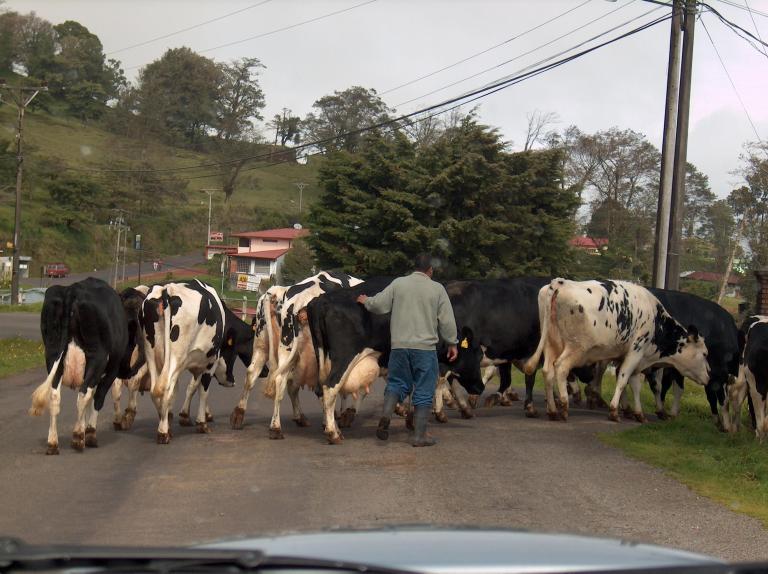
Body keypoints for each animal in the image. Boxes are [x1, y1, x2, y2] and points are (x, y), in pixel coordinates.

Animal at [29, 280, 144, 454]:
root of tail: (72, 290)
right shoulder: (112, 369)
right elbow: (98, 397)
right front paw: (89, 432)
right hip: (97, 357)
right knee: (83, 394)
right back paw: (78, 437)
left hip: (52, 354)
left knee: (55, 396)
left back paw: (53, 442)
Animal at [141, 282, 226, 444]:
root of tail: (167, 290)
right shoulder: (211, 362)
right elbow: (202, 390)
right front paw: (202, 423)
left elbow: (182, 390)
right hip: (176, 356)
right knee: (166, 388)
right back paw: (163, 432)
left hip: (151, 355)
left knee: (156, 390)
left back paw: (165, 427)